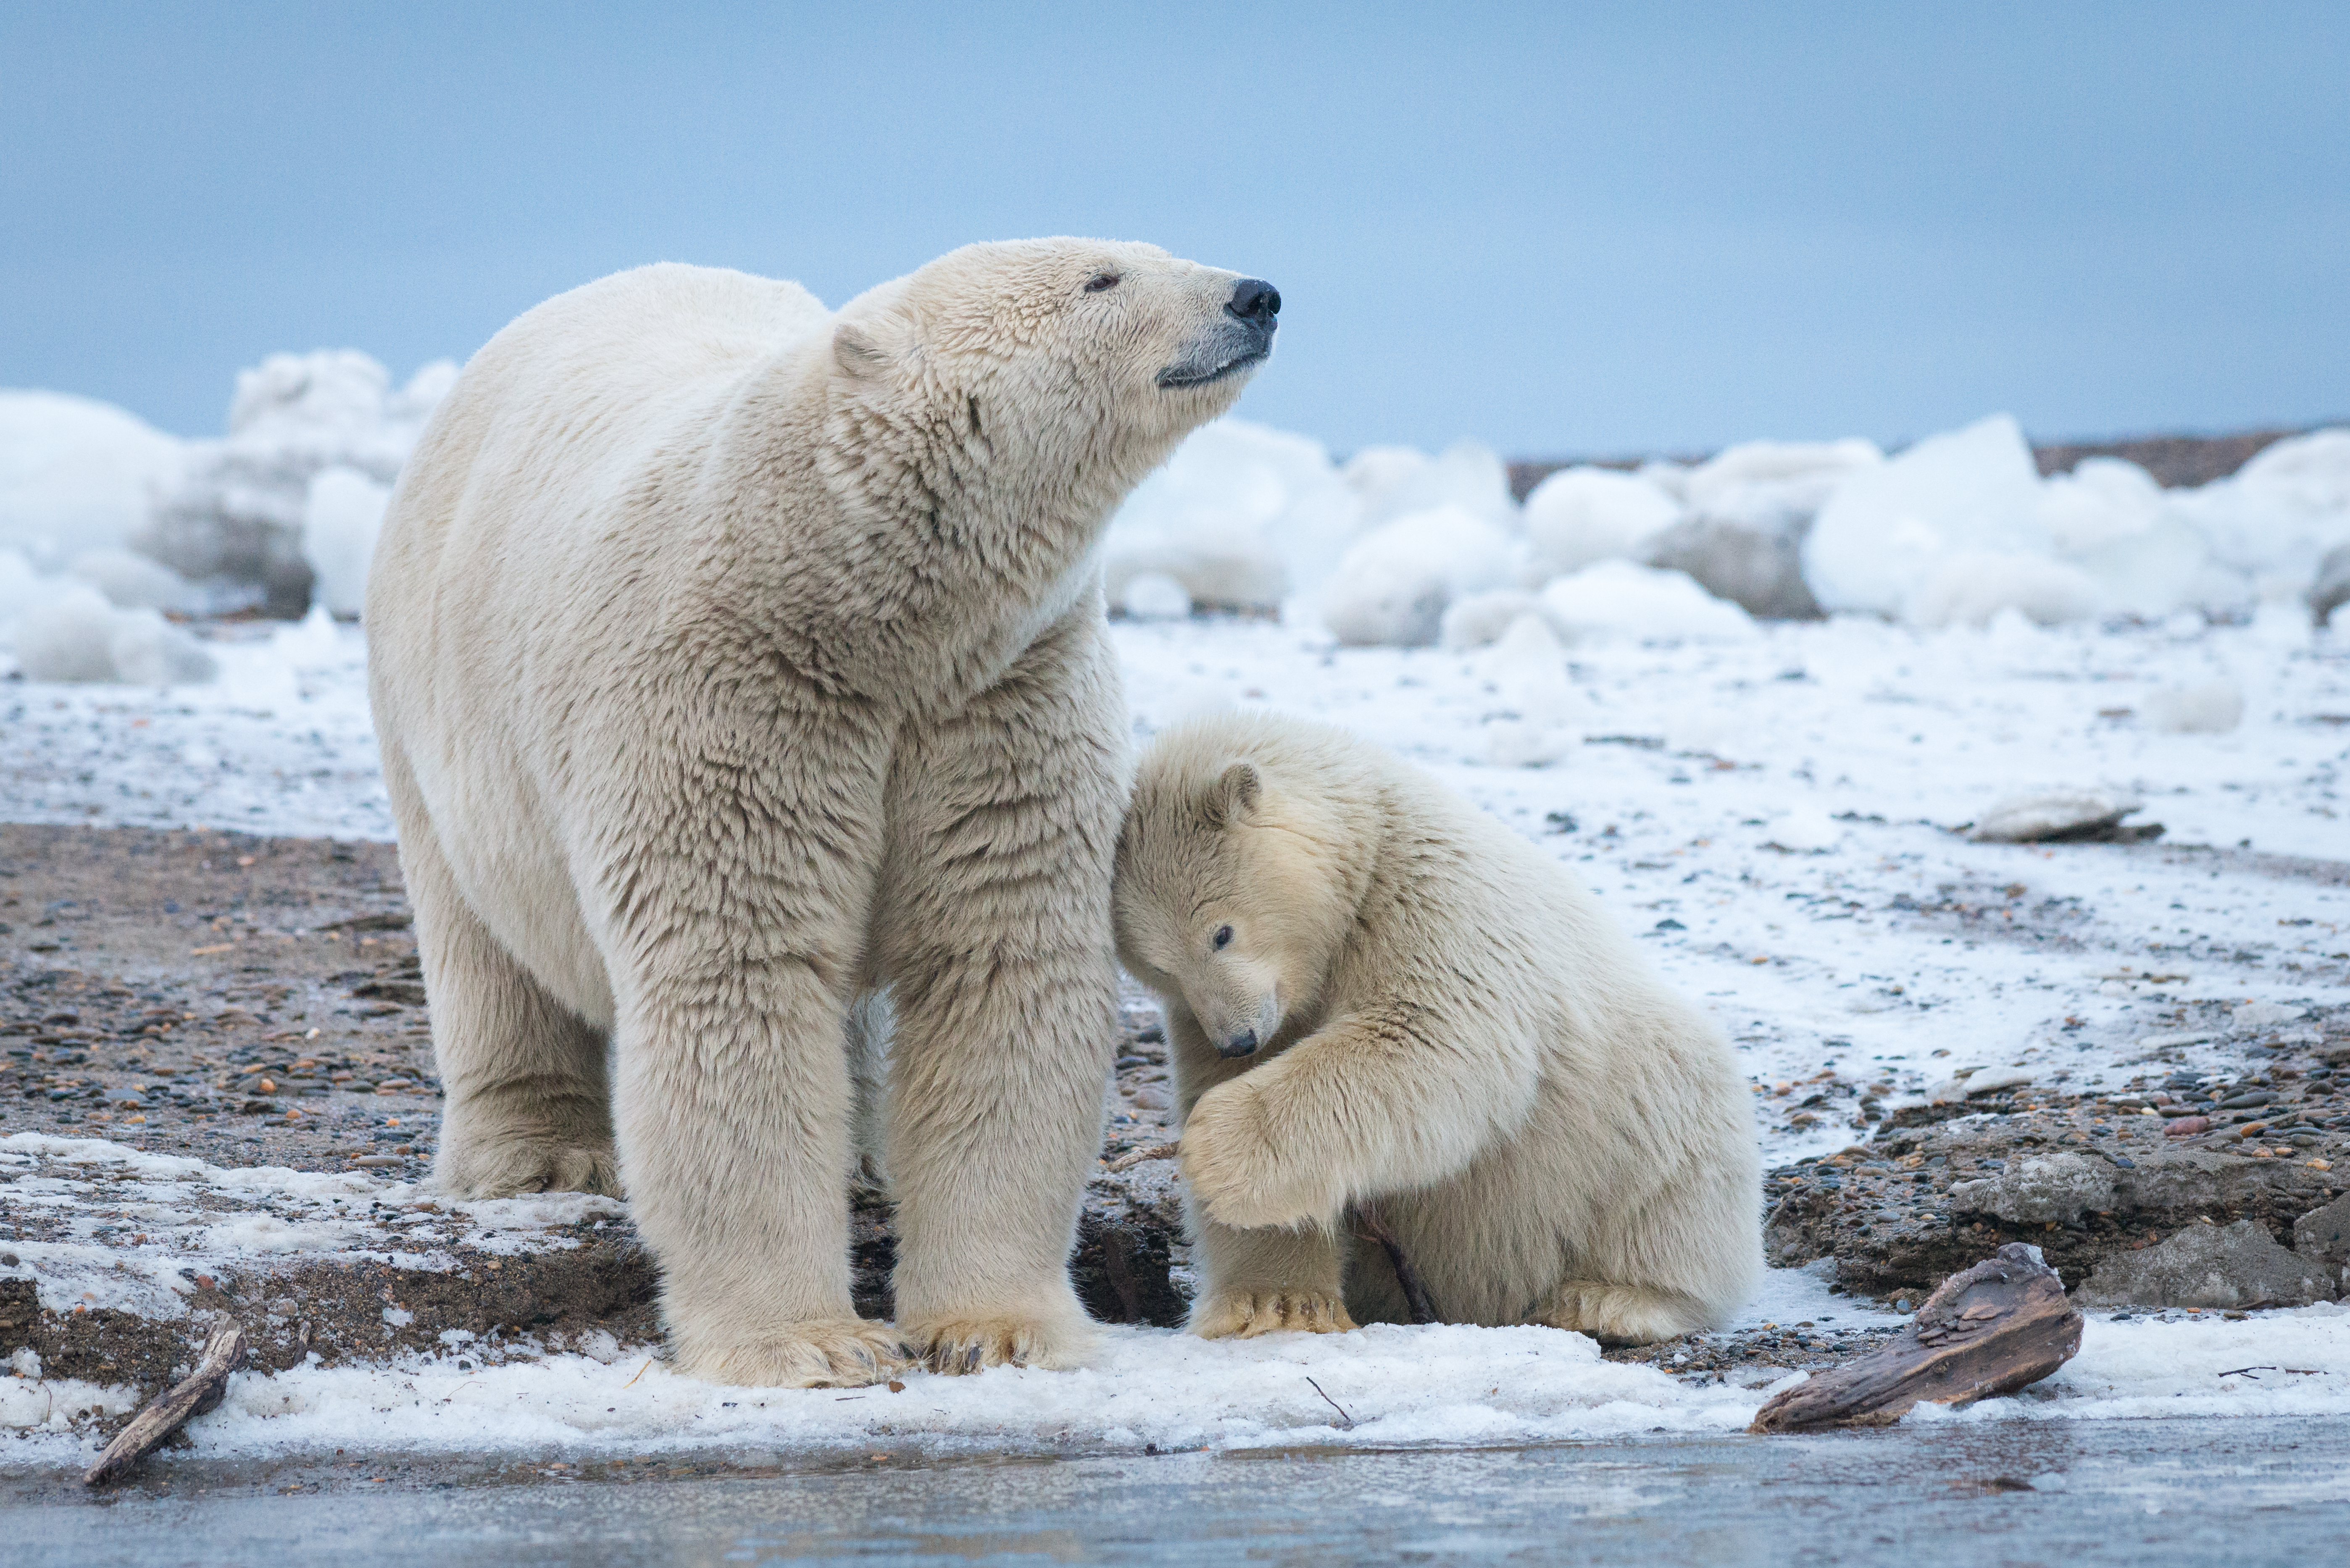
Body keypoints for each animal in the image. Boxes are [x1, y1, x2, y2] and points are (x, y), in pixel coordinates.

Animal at [369, 236, 1287, 1382]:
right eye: (1104, 278)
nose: (1257, 296)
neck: (849, 598)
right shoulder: (729, 691)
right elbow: (738, 978)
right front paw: (810, 1342)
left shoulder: (998, 696)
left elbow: (996, 963)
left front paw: (996, 1326)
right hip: (436, 704)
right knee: (483, 937)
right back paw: (542, 1154)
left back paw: (856, 1160)